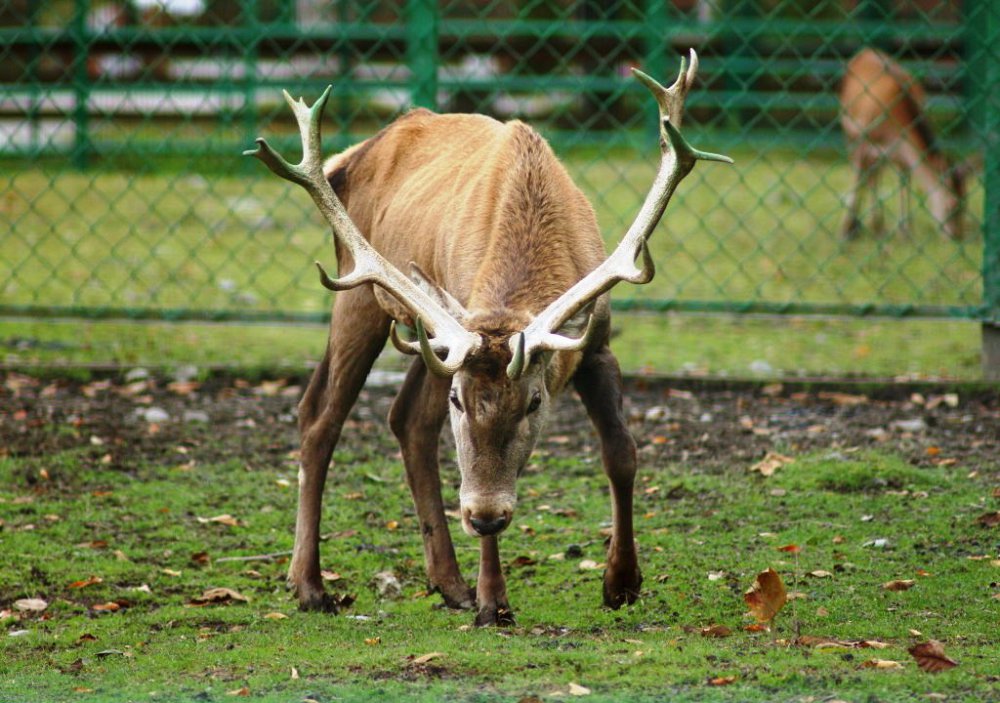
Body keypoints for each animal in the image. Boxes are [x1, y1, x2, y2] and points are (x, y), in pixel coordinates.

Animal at [242, 49, 728, 624]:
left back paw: (449, 583)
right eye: (460, 400)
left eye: (535, 400)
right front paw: (494, 601)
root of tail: (348, 158)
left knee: (406, 418)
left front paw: (622, 582)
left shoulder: (596, 343)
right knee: (319, 415)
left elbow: (621, 452)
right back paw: (310, 585)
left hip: (431, 334)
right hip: (359, 294)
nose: (486, 516)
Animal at [840, 47, 964, 239]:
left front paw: (905, 230)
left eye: (966, 203)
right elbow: (861, 177)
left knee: (875, 173)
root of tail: (864, 51)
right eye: (952, 205)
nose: (957, 235)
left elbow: (904, 180)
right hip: (849, 129)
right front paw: (848, 230)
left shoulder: (900, 150)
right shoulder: (863, 135)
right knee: (864, 172)